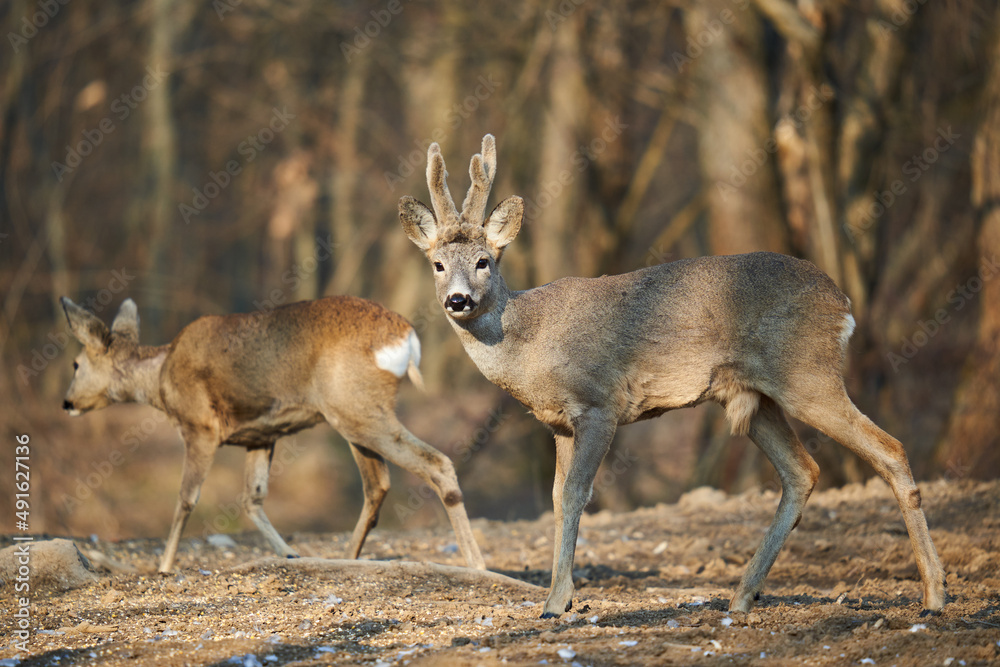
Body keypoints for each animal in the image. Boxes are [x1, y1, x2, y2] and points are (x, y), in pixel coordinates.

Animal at [60, 295, 485, 574]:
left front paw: (163, 566)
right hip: (356, 413)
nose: (66, 402)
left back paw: (476, 563)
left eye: (76, 363)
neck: (161, 380)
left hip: (355, 407)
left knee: (435, 463)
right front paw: (290, 554)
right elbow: (252, 498)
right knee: (378, 484)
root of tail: (406, 337)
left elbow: (186, 498)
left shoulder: (200, 427)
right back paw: (345, 559)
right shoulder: (261, 436)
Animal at [398, 134, 946, 618]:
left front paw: (556, 603)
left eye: (484, 261)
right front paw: (560, 595)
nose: (458, 300)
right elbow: (555, 498)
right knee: (803, 471)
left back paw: (935, 595)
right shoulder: (558, 424)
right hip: (754, 397)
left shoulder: (600, 404)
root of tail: (842, 303)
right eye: (438, 264)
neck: (528, 345)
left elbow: (576, 493)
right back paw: (742, 597)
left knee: (890, 449)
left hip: (809, 374)